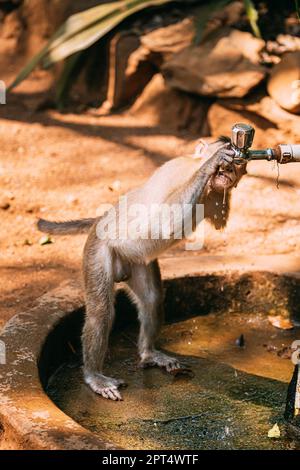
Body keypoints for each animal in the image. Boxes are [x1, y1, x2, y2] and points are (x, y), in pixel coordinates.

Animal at [38, 136, 247, 400]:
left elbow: (218, 221)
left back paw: (149, 354)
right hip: (99, 250)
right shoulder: (175, 171)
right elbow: (164, 220)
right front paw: (211, 162)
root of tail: (99, 220)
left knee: (151, 299)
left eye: (232, 170)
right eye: (223, 166)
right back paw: (94, 376)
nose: (227, 173)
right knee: (100, 312)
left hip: (136, 262)